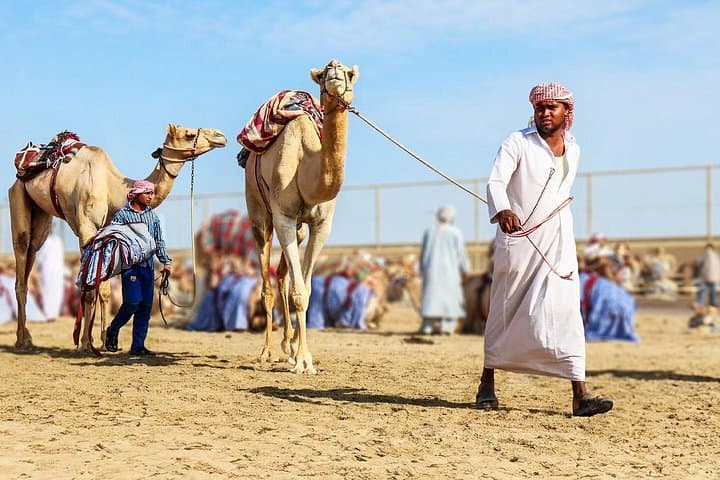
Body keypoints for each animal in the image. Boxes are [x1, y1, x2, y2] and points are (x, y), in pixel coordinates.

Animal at [9, 124, 227, 353]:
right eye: (189, 134)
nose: (220, 136)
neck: (113, 189)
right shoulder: (87, 228)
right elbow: (89, 286)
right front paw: (85, 344)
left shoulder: (108, 231)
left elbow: (103, 288)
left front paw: (104, 340)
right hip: (18, 195)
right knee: (22, 258)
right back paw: (22, 340)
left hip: (41, 213)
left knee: (33, 249)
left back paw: (28, 337)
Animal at [244, 59, 359, 373]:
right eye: (322, 74)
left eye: (350, 73)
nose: (335, 68)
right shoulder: (283, 216)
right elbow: (298, 292)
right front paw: (303, 362)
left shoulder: (320, 225)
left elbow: (305, 289)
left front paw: (300, 355)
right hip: (259, 215)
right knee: (267, 283)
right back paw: (267, 351)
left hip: (299, 230)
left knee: (283, 274)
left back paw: (288, 343)